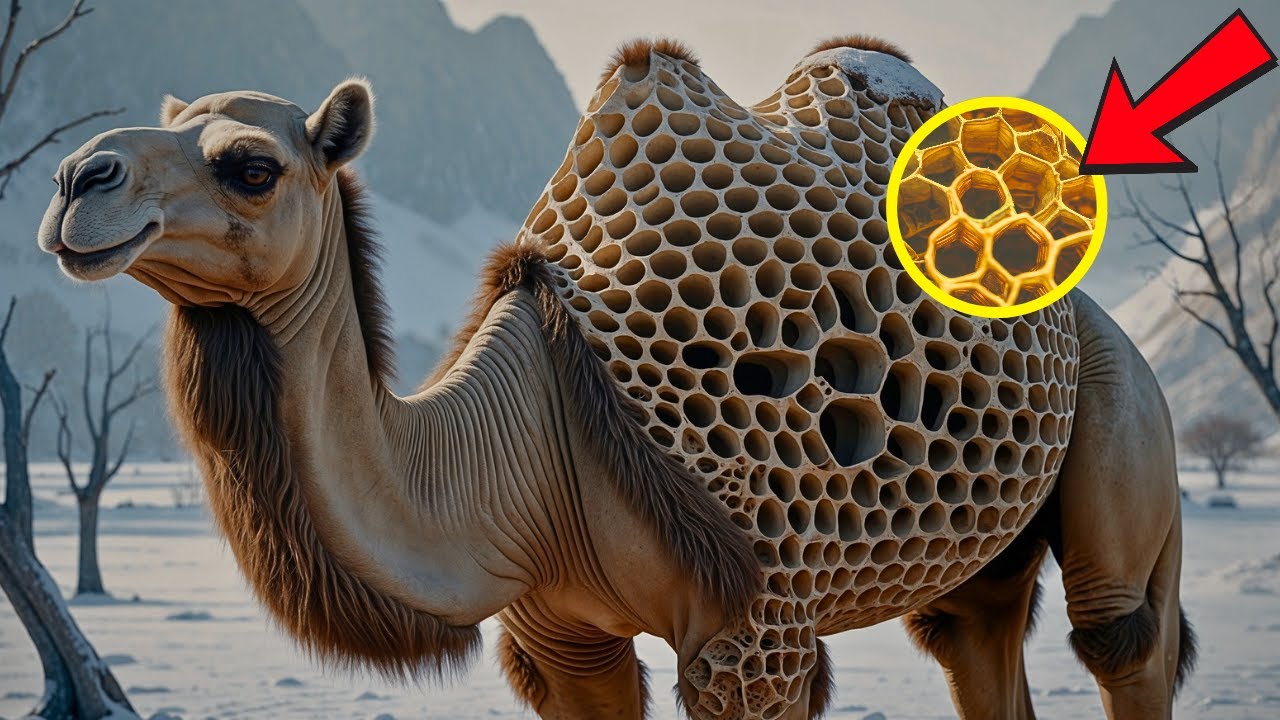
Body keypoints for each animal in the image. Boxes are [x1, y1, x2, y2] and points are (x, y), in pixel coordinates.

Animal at [38, 36, 1194, 720]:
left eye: (251, 165)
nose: (76, 177)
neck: (510, 450)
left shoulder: (754, 633)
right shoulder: (562, 640)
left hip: (1124, 405)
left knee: (1118, 633)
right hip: (980, 550)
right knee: (975, 633)